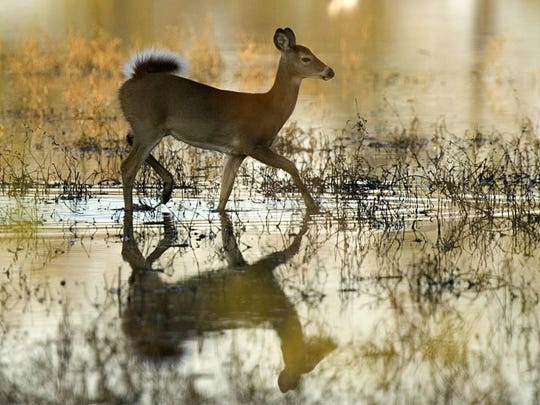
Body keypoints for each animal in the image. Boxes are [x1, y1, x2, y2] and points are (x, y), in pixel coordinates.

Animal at [119, 26, 334, 216]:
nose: (329, 71)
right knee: (127, 167)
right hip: (148, 127)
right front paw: (314, 207)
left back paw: (166, 191)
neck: (269, 108)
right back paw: (131, 209)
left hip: (148, 128)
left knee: (129, 140)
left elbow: (224, 194)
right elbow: (291, 166)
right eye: (305, 58)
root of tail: (132, 80)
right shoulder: (253, 144)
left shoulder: (236, 153)